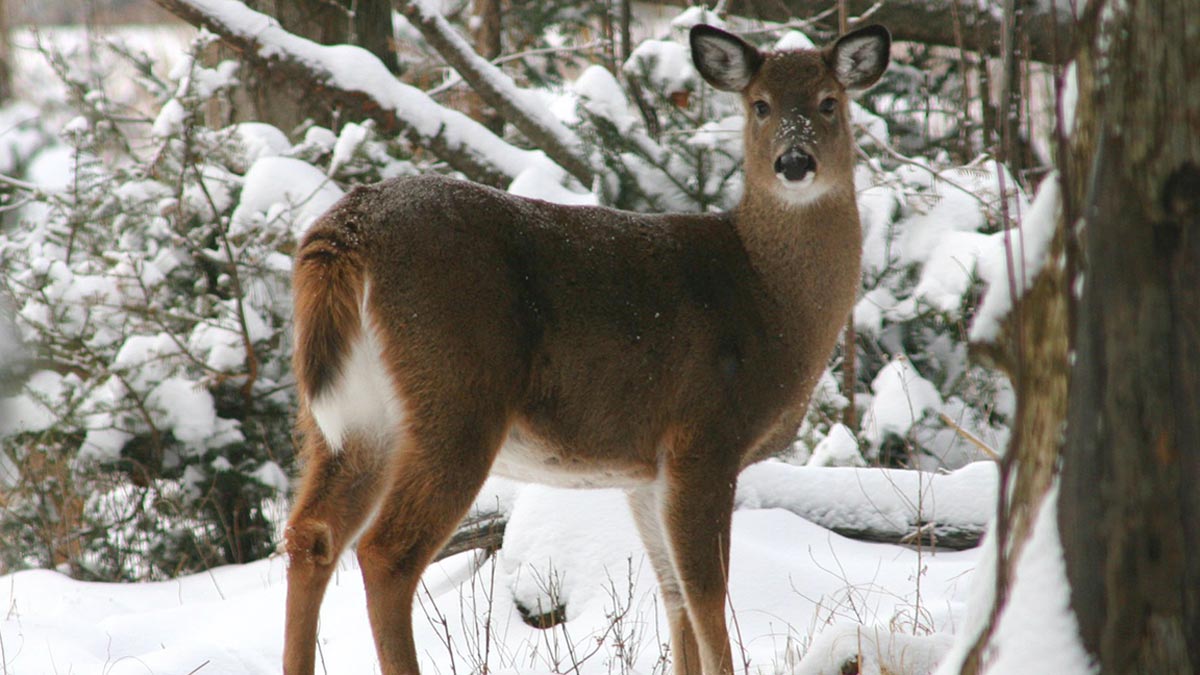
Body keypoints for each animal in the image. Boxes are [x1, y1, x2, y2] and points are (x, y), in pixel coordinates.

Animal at [282, 22, 890, 675]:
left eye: (829, 102)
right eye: (760, 105)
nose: (794, 162)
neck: (771, 302)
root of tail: (350, 228)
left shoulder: (646, 470)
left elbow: (673, 593)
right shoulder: (705, 435)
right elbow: (707, 593)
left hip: (353, 418)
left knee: (310, 534)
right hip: (456, 393)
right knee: (385, 552)